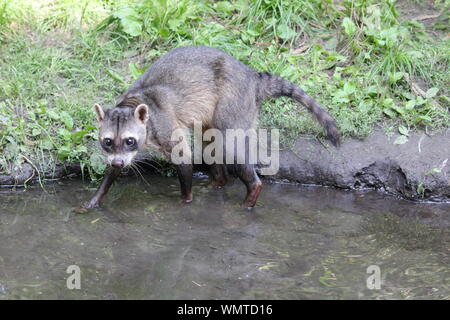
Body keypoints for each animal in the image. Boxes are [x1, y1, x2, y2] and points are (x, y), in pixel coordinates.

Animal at [84, 45, 340, 210]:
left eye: (130, 140)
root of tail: (252, 76)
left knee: (231, 146)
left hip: (233, 102)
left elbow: (184, 157)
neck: (132, 103)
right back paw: (219, 181)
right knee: (210, 143)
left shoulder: (166, 126)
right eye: (108, 142)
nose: (119, 162)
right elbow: (112, 171)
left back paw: (251, 192)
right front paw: (96, 198)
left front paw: (186, 199)